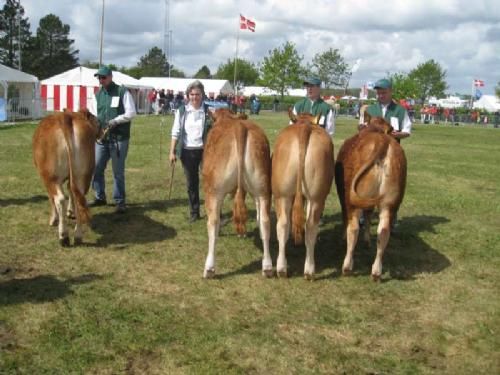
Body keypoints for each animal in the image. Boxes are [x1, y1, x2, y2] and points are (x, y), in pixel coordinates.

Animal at [33, 108, 99, 247]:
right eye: (96, 120)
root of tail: (65, 117)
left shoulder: (45, 178)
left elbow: (52, 198)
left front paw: (54, 219)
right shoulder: (71, 177)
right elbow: (71, 192)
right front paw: (70, 212)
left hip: (51, 177)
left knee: (60, 199)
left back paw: (63, 236)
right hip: (82, 174)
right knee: (79, 196)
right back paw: (78, 235)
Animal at [199, 108, 272, 280]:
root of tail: (240, 127)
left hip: (213, 191)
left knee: (213, 222)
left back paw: (209, 268)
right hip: (262, 188)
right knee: (265, 221)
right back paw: (267, 267)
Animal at [334, 116, 404, 280]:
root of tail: (383, 140)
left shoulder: (343, 196)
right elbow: (368, 215)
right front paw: (366, 241)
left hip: (352, 199)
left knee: (353, 228)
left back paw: (347, 267)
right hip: (390, 203)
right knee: (383, 231)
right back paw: (376, 271)